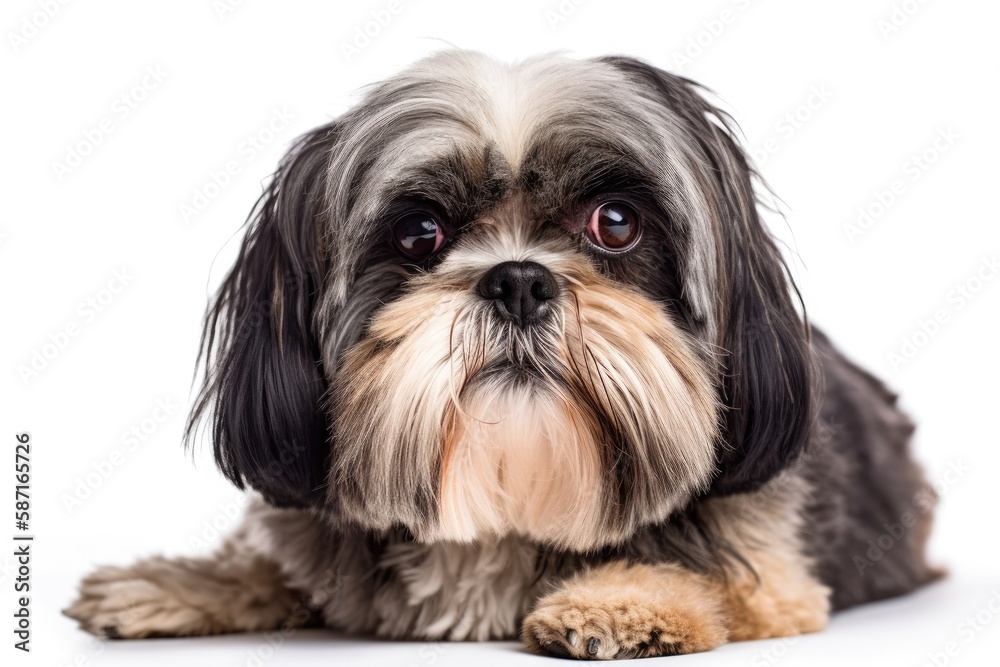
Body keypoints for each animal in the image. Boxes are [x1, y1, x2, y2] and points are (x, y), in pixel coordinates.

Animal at [66, 51, 940, 656]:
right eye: (420, 232)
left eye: (615, 221)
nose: (518, 279)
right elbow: (277, 558)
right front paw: (175, 580)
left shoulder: (776, 576)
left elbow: (712, 569)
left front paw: (618, 599)